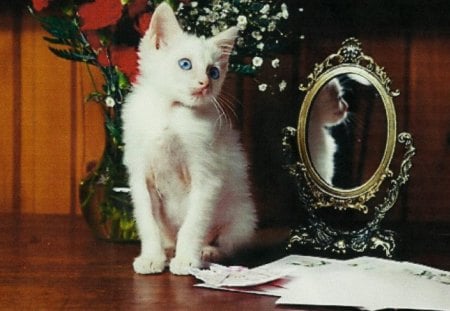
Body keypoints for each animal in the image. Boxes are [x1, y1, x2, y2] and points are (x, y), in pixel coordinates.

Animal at [122, 2, 256, 276]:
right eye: (185, 64)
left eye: (214, 72)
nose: (205, 84)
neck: (169, 112)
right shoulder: (140, 177)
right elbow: (148, 222)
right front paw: (151, 258)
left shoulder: (207, 176)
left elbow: (194, 224)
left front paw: (186, 260)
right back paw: (168, 251)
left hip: (244, 217)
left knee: (228, 242)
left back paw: (207, 251)